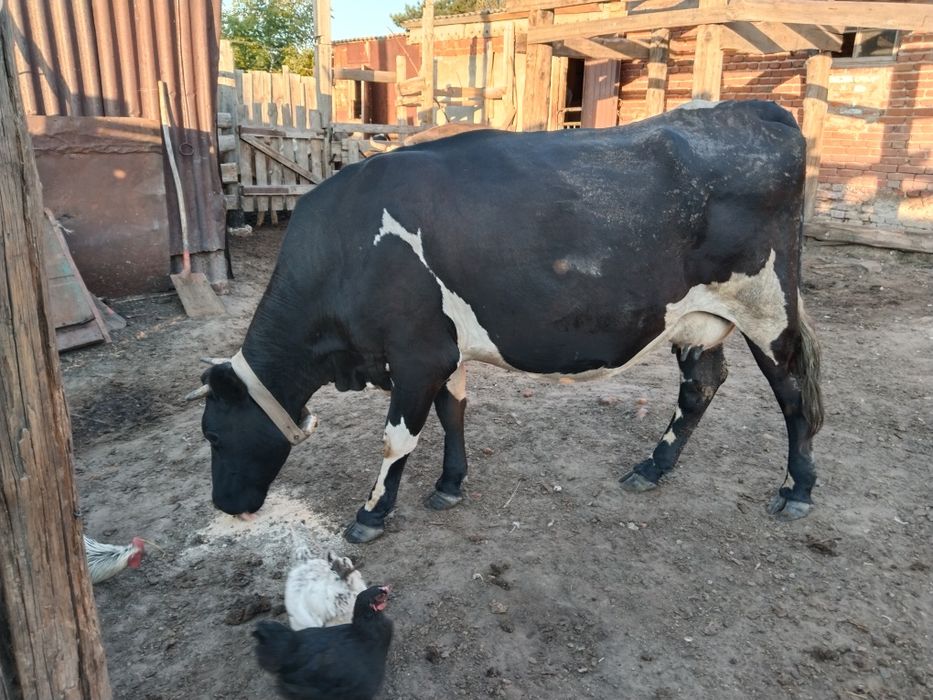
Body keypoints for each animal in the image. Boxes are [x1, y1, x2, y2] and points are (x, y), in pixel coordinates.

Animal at [188, 100, 823, 544]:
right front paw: (450, 484)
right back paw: (652, 467)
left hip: (768, 308)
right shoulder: (442, 350)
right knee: (700, 388)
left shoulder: (416, 354)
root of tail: (755, 109)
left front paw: (371, 514)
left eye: (213, 434)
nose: (224, 505)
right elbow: (453, 413)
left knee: (794, 392)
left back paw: (797, 489)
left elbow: (397, 437)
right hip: (697, 318)